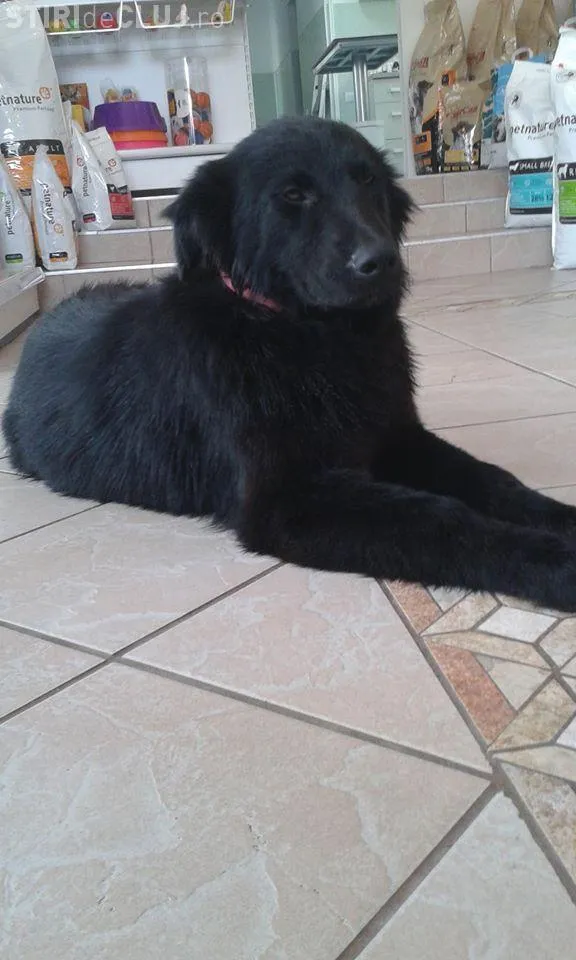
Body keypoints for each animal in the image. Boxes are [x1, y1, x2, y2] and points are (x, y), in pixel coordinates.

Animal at [5, 117, 576, 611]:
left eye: (367, 180)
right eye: (293, 195)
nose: (382, 262)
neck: (309, 337)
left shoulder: (397, 437)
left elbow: (494, 481)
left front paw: (559, 519)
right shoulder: (286, 499)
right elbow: (443, 520)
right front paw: (556, 564)